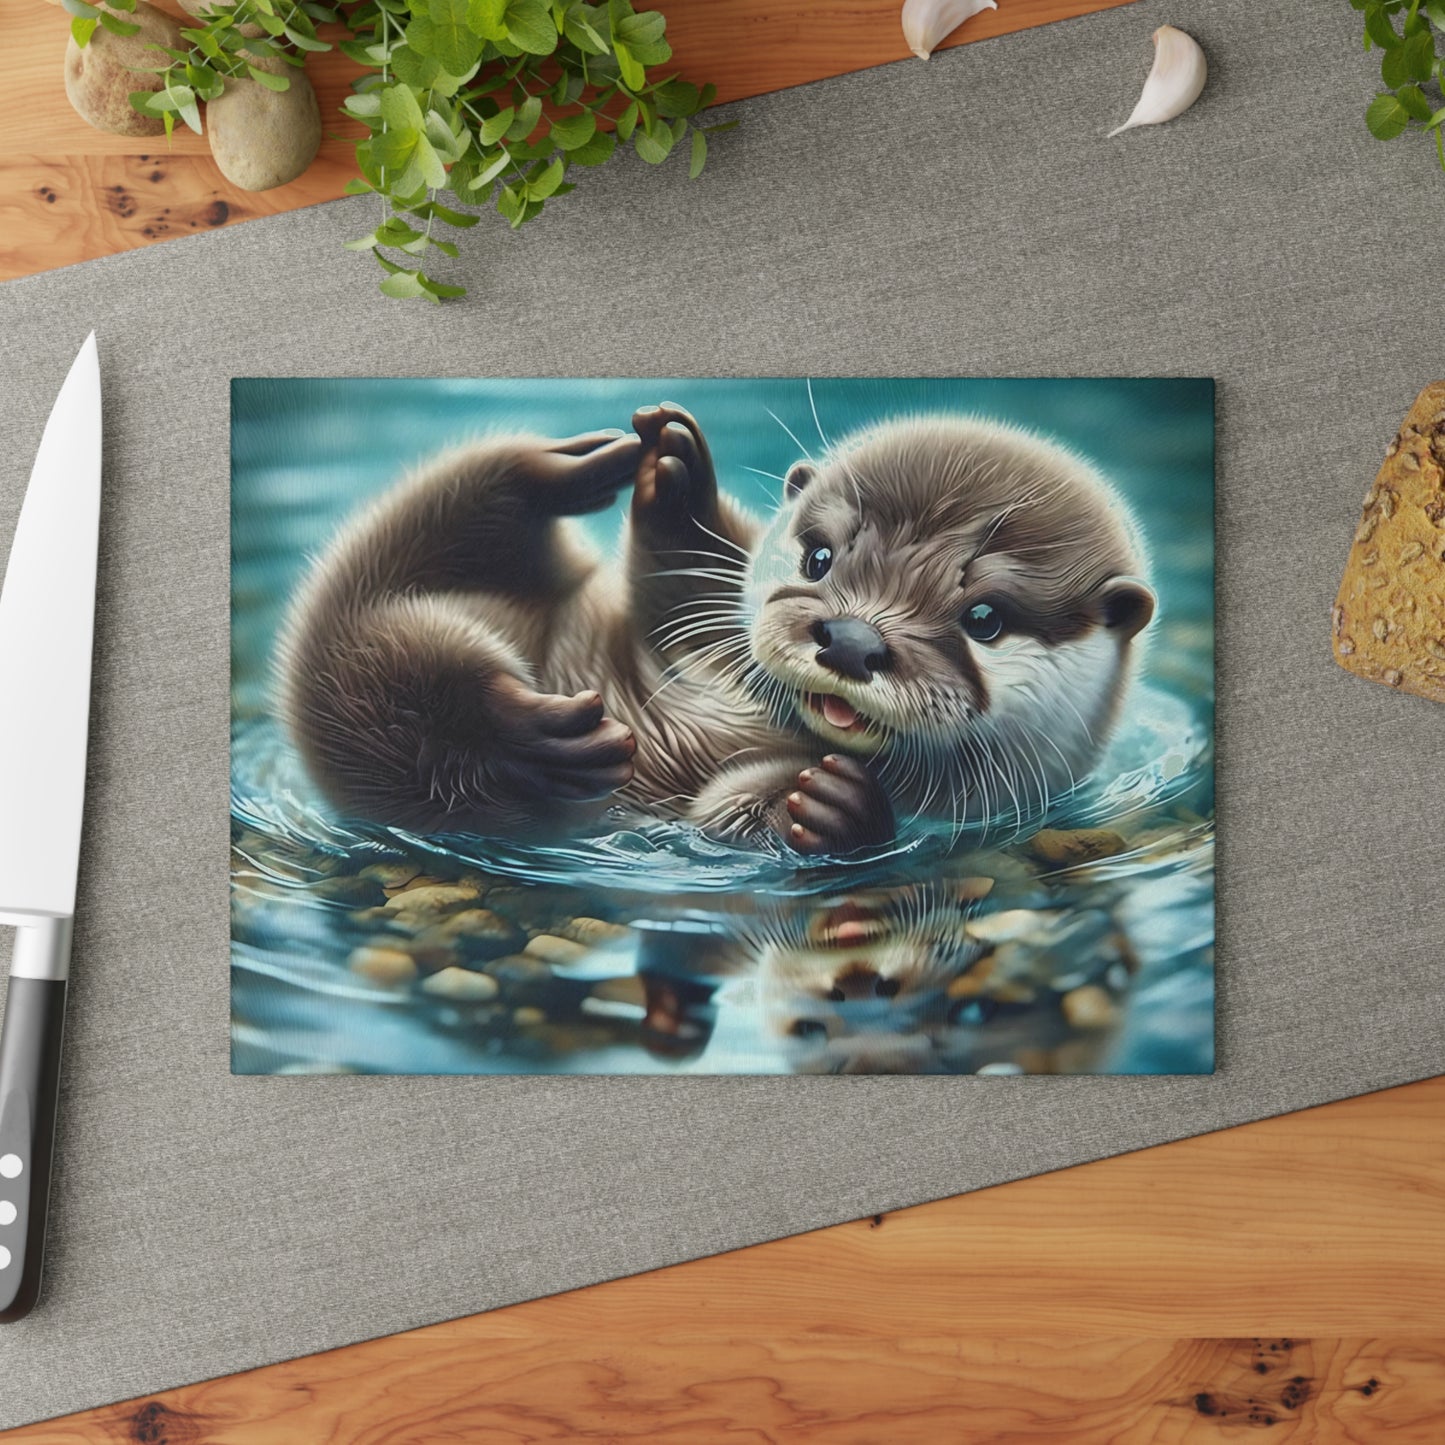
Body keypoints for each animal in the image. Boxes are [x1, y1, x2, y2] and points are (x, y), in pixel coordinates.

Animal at [279, 404, 1155, 853]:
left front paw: (838, 809)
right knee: (456, 529)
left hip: (377, 730)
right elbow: (677, 591)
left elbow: (728, 812)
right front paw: (675, 477)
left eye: (984, 618)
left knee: (390, 692)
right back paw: (580, 463)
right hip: (411, 565)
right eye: (817, 556)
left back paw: (526, 744)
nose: (850, 640)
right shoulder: (700, 632)